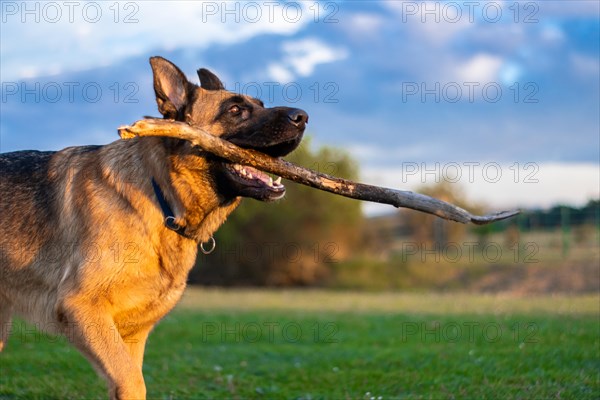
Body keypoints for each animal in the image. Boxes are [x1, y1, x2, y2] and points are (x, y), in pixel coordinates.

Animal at [0, 57, 308, 400]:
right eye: (235, 110)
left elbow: (132, 383)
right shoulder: (82, 309)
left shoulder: (131, 337)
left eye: (260, 104)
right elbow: (133, 381)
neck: (161, 199)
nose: (303, 117)